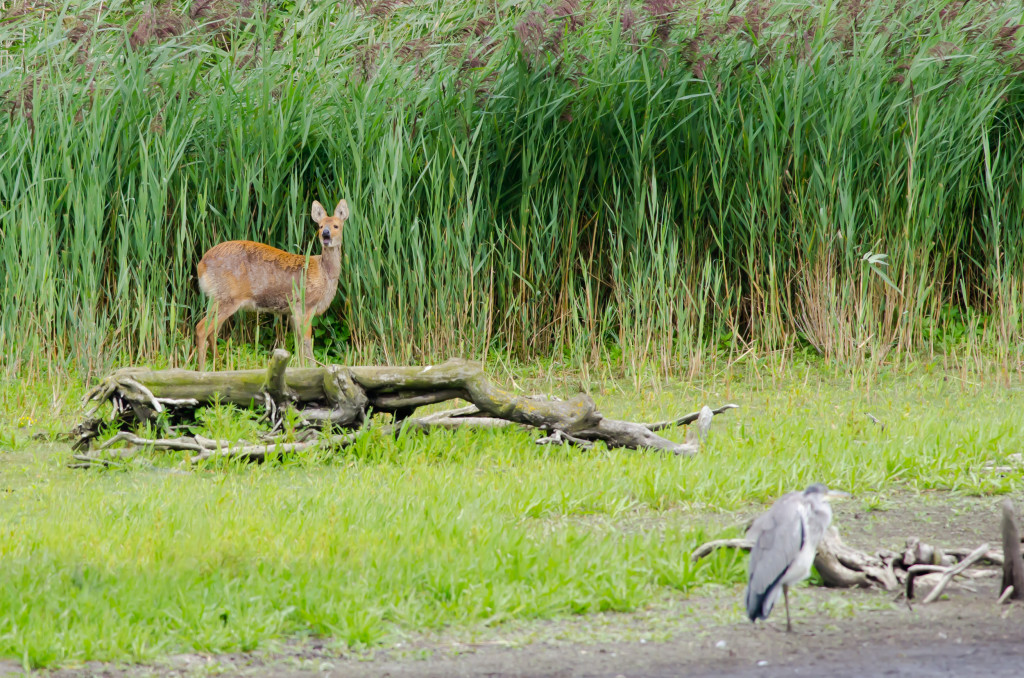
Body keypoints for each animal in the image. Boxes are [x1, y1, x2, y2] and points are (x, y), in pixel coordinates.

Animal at [193, 199, 350, 372]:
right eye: (320, 226)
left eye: (336, 225)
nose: (325, 234)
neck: (324, 273)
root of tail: (201, 265)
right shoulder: (305, 305)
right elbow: (306, 342)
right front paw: (311, 368)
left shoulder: (292, 312)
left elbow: (299, 344)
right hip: (227, 298)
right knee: (201, 329)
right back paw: (202, 370)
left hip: (218, 298)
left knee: (212, 333)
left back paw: (220, 366)